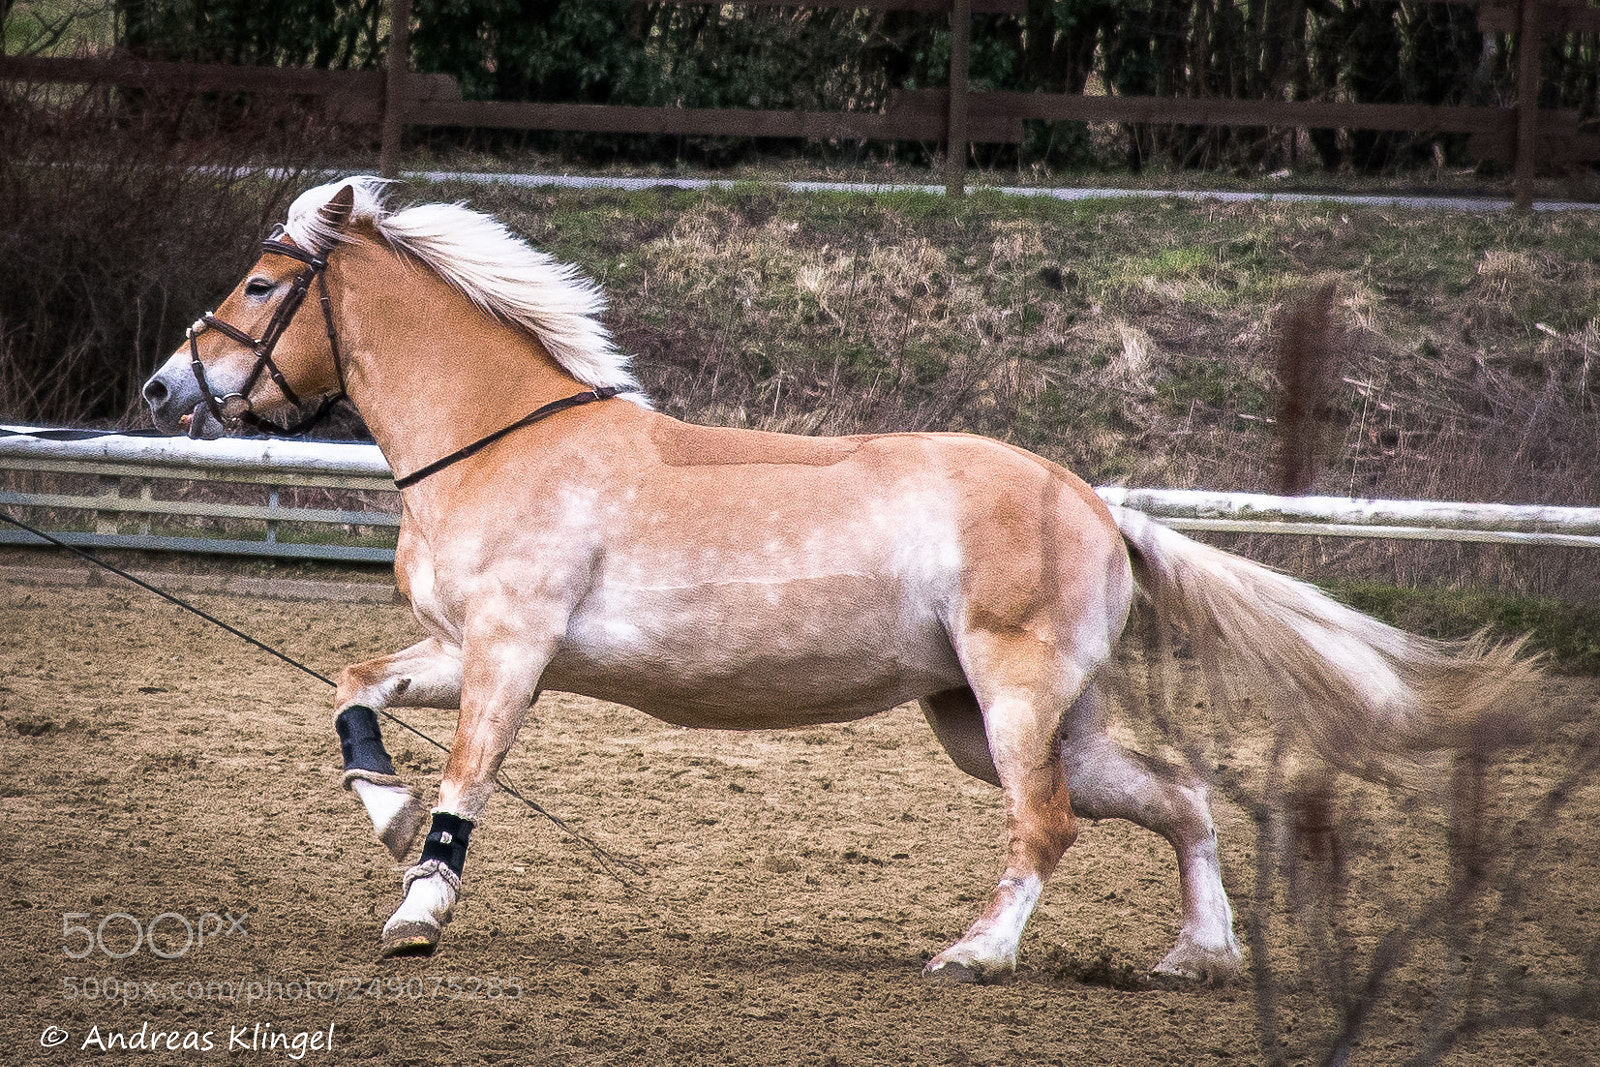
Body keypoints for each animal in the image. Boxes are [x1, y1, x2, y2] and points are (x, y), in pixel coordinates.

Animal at [142, 176, 1538, 981]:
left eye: (260, 282)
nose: (162, 389)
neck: (501, 440)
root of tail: (1096, 500)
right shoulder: (456, 646)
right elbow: (350, 684)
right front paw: (384, 821)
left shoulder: (512, 650)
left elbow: (469, 776)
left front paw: (418, 908)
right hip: (1000, 718)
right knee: (1181, 797)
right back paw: (1194, 957)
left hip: (1015, 701)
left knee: (1047, 825)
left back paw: (975, 953)